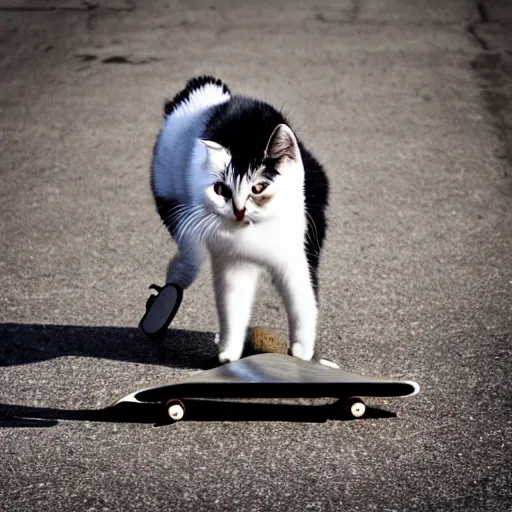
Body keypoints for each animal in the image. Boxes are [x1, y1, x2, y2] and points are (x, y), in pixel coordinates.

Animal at [150, 76, 330, 364]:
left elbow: (302, 302)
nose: (238, 210)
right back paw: (162, 306)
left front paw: (301, 352)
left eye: (258, 188)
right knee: (186, 263)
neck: (256, 231)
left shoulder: (299, 257)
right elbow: (232, 307)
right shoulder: (231, 264)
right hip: (177, 208)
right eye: (220, 189)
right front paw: (228, 355)